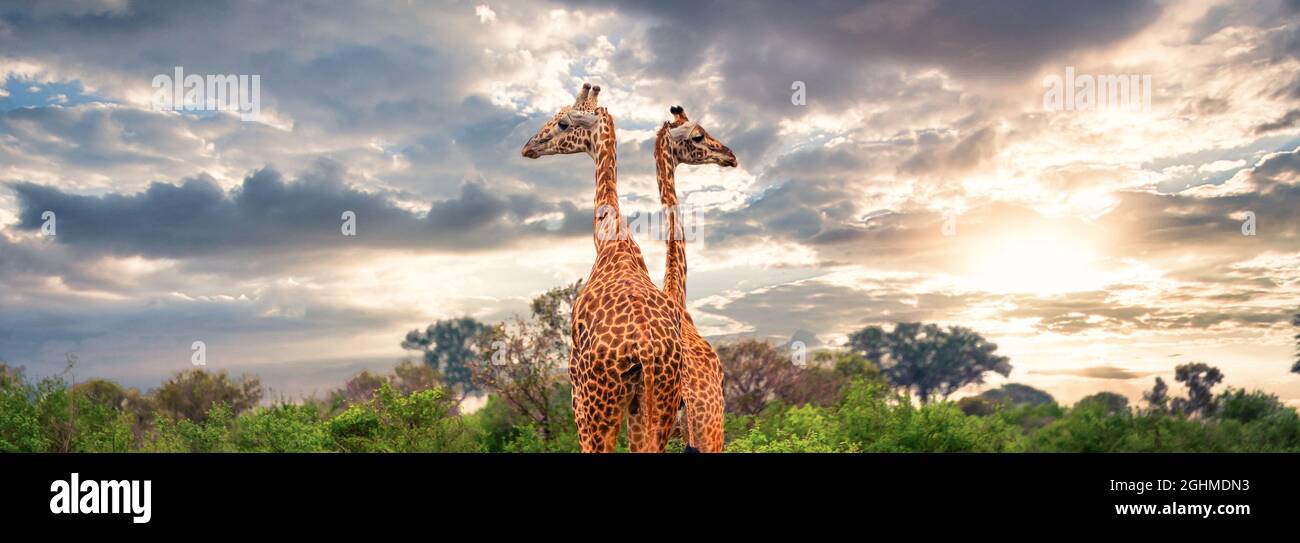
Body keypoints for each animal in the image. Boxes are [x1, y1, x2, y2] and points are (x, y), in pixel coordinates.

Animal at [520, 83, 683, 452]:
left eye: (563, 122)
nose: (529, 146)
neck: (610, 240)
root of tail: (646, 348)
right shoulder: (637, 406)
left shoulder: (576, 392)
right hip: (661, 401)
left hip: (598, 403)